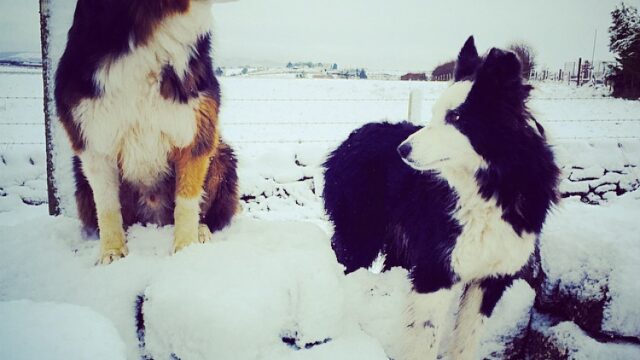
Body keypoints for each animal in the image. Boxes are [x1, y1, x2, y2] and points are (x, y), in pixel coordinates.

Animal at [53, 0, 239, 264]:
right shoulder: (92, 136)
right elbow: (107, 206)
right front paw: (112, 252)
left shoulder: (196, 128)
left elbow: (187, 199)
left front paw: (186, 249)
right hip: (80, 176)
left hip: (222, 156)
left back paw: (201, 231)